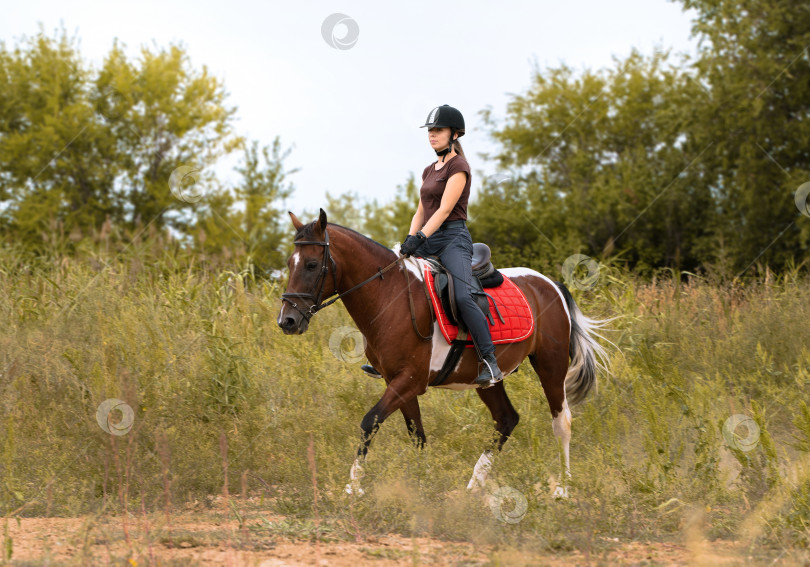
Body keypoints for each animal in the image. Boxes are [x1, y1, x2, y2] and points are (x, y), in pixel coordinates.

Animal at [278, 210, 608, 496]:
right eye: (290, 264)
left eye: (311, 265)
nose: (287, 321)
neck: (391, 297)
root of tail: (550, 283)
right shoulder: (398, 382)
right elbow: (417, 434)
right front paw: (423, 484)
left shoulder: (410, 380)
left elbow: (370, 421)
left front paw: (353, 486)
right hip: (486, 380)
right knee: (506, 419)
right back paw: (474, 484)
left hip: (551, 365)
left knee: (561, 421)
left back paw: (563, 489)